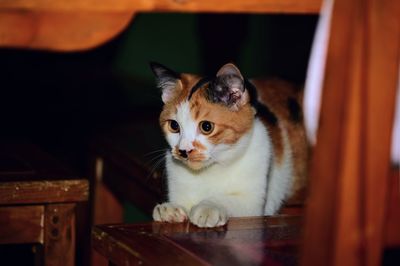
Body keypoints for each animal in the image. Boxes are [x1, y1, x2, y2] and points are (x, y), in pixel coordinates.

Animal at [150, 61, 310, 227]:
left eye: (206, 127)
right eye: (174, 126)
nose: (183, 150)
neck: (210, 171)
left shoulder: (254, 205)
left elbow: (229, 200)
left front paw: (208, 207)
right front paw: (169, 208)